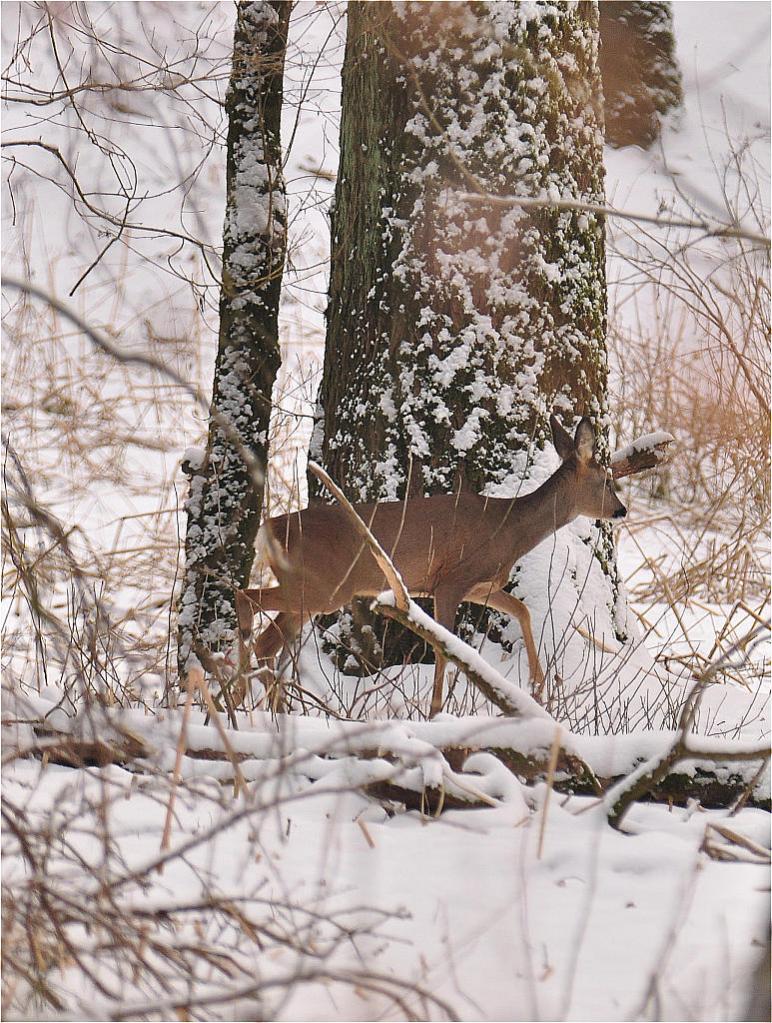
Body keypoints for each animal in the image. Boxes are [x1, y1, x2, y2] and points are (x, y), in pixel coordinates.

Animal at [233, 413, 638, 717]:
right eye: (606, 480)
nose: (621, 510)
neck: (509, 530)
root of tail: (269, 529)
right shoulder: (451, 580)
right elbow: (447, 645)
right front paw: (436, 710)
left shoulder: (479, 586)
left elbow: (521, 610)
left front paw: (539, 688)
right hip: (323, 587)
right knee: (248, 600)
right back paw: (247, 699)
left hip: (312, 592)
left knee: (265, 635)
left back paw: (265, 707)